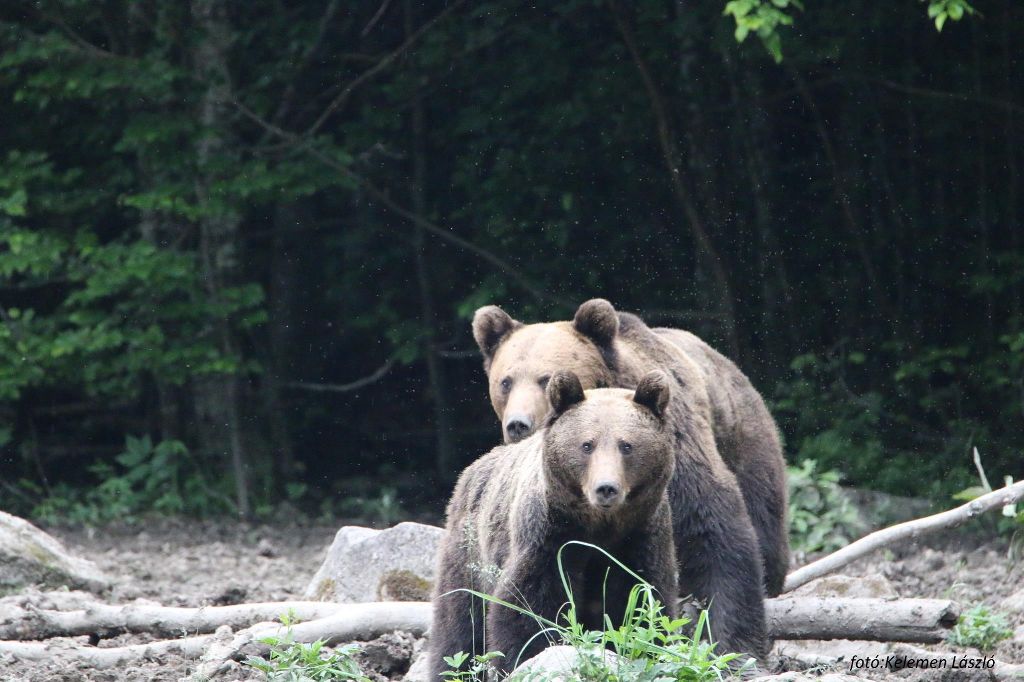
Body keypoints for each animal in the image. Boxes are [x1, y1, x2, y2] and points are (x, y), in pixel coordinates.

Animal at [430, 368, 679, 675]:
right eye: (587, 445)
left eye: (626, 445)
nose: (606, 488)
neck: (599, 526)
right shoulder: (548, 535)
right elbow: (528, 606)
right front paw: (525, 654)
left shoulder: (640, 536)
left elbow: (642, 602)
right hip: (469, 549)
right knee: (459, 622)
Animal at [471, 299, 782, 643]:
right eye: (506, 382)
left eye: (545, 378)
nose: (518, 424)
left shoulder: (676, 450)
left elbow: (714, 530)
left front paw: (733, 641)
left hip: (747, 443)